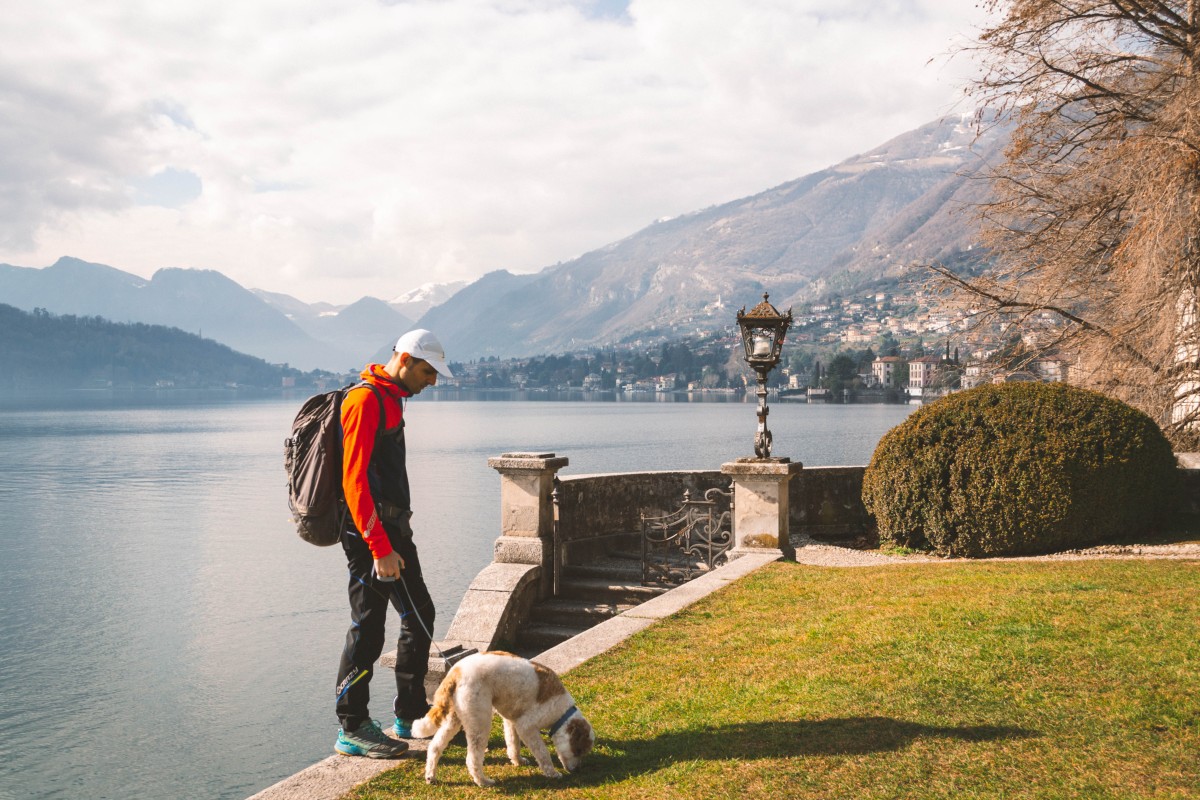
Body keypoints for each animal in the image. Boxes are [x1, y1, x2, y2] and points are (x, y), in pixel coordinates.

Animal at [412, 652, 595, 786]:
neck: (562, 712)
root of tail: (455, 672)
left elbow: (513, 744)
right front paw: (552, 773)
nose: (577, 771)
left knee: (435, 747)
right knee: (472, 759)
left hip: (454, 719)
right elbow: (542, 753)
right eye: (578, 750)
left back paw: (430, 776)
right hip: (479, 722)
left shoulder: (512, 721)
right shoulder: (526, 726)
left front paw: (518, 761)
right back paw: (483, 781)